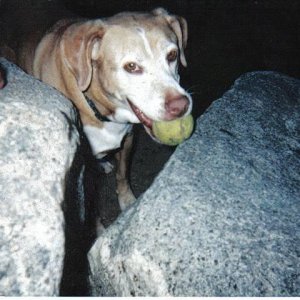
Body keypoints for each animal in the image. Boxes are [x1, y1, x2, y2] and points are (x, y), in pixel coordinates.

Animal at [9, 7, 193, 211]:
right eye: (131, 66)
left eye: (172, 55)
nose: (181, 106)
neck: (100, 110)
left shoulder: (128, 139)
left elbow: (122, 175)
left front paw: (127, 201)